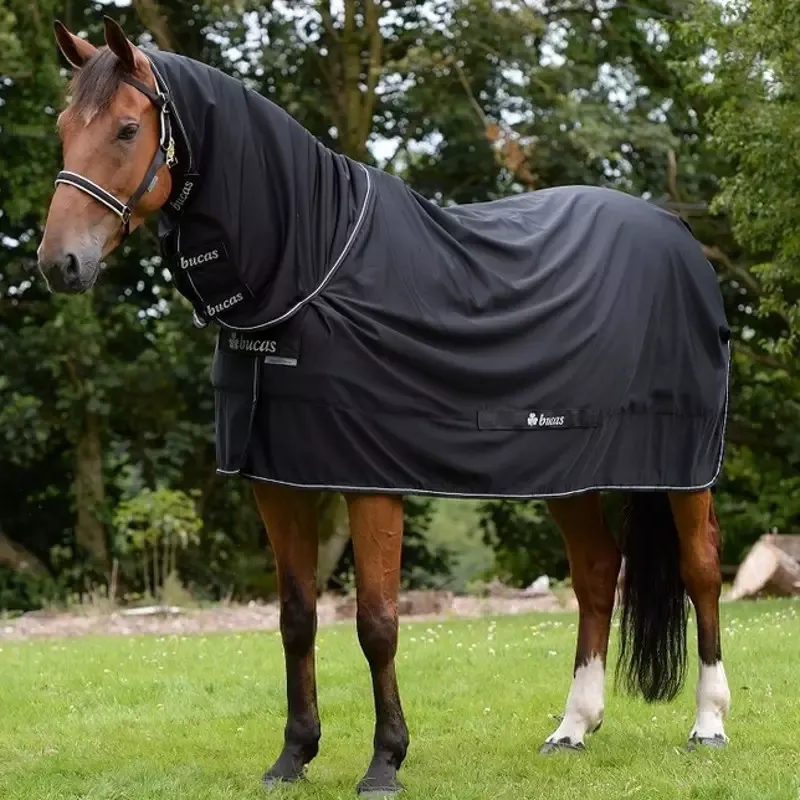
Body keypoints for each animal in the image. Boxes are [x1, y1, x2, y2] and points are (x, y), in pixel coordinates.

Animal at [37, 16, 732, 797]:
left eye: (128, 128)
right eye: (64, 128)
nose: (59, 263)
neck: (312, 266)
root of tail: (678, 237)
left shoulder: (371, 479)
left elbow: (376, 623)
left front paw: (385, 761)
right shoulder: (279, 480)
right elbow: (297, 617)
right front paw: (293, 755)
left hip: (684, 466)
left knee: (702, 568)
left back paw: (708, 724)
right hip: (566, 468)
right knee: (594, 572)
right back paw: (572, 728)